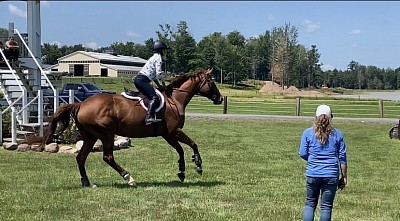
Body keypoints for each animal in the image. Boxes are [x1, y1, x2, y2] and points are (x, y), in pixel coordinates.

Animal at [39, 68, 223, 188]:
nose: (220, 99)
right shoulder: (173, 132)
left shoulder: (168, 135)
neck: (174, 100)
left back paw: (87, 183)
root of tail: (81, 104)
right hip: (106, 134)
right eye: (212, 82)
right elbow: (193, 144)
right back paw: (129, 178)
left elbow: (181, 150)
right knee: (107, 157)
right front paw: (198, 165)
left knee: (81, 158)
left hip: (90, 136)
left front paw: (182, 171)